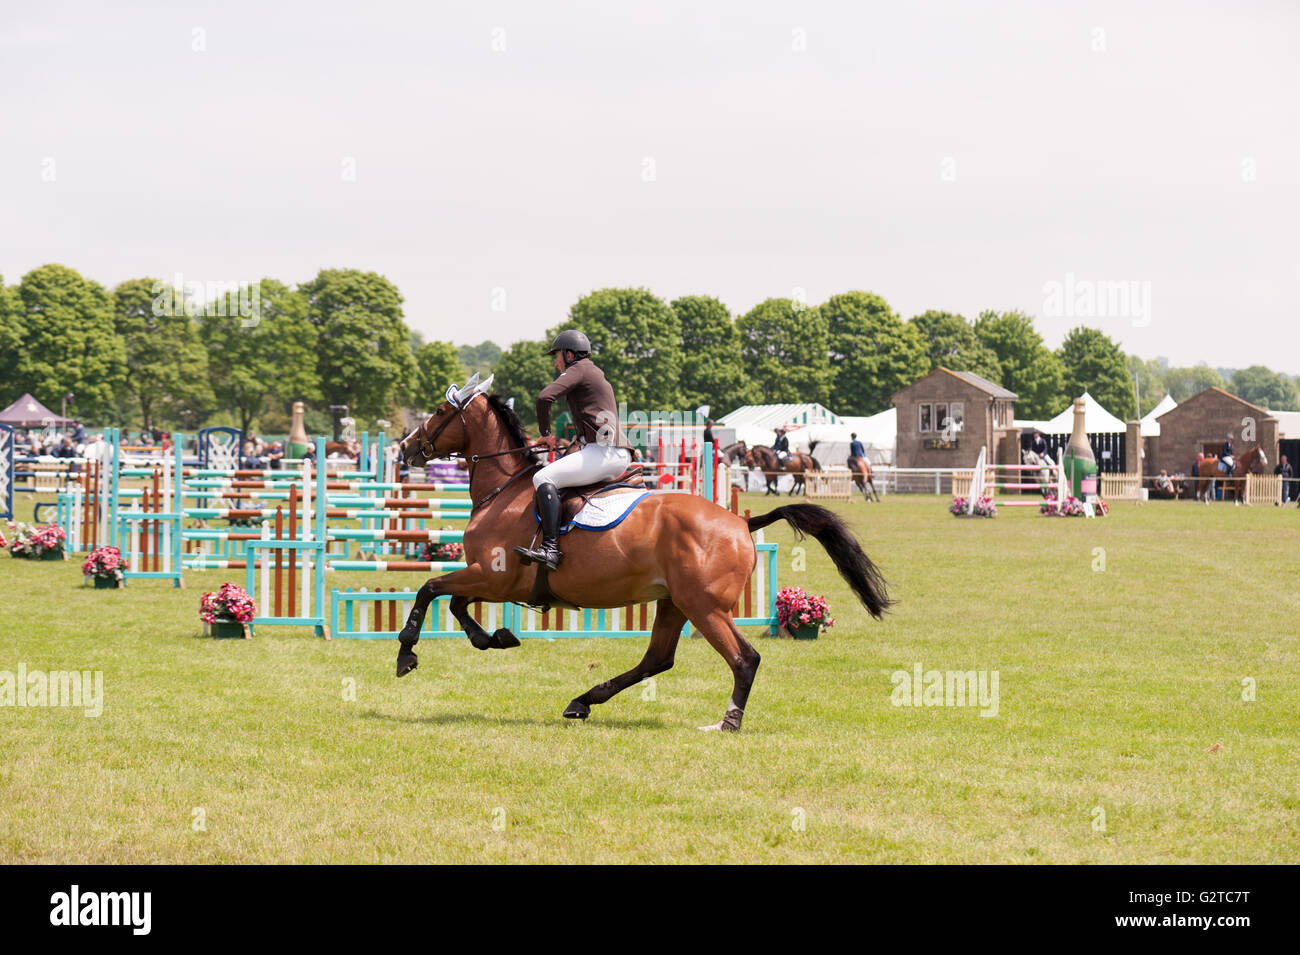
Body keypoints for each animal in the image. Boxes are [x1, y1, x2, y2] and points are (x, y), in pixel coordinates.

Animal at [390, 389, 889, 732]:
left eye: (439, 413)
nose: (406, 447)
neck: (504, 489)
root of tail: (741, 523)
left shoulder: (491, 578)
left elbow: (430, 590)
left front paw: (407, 654)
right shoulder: (488, 581)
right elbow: (453, 603)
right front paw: (493, 637)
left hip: (705, 608)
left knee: (744, 658)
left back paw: (728, 721)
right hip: (674, 603)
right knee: (657, 660)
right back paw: (583, 701)